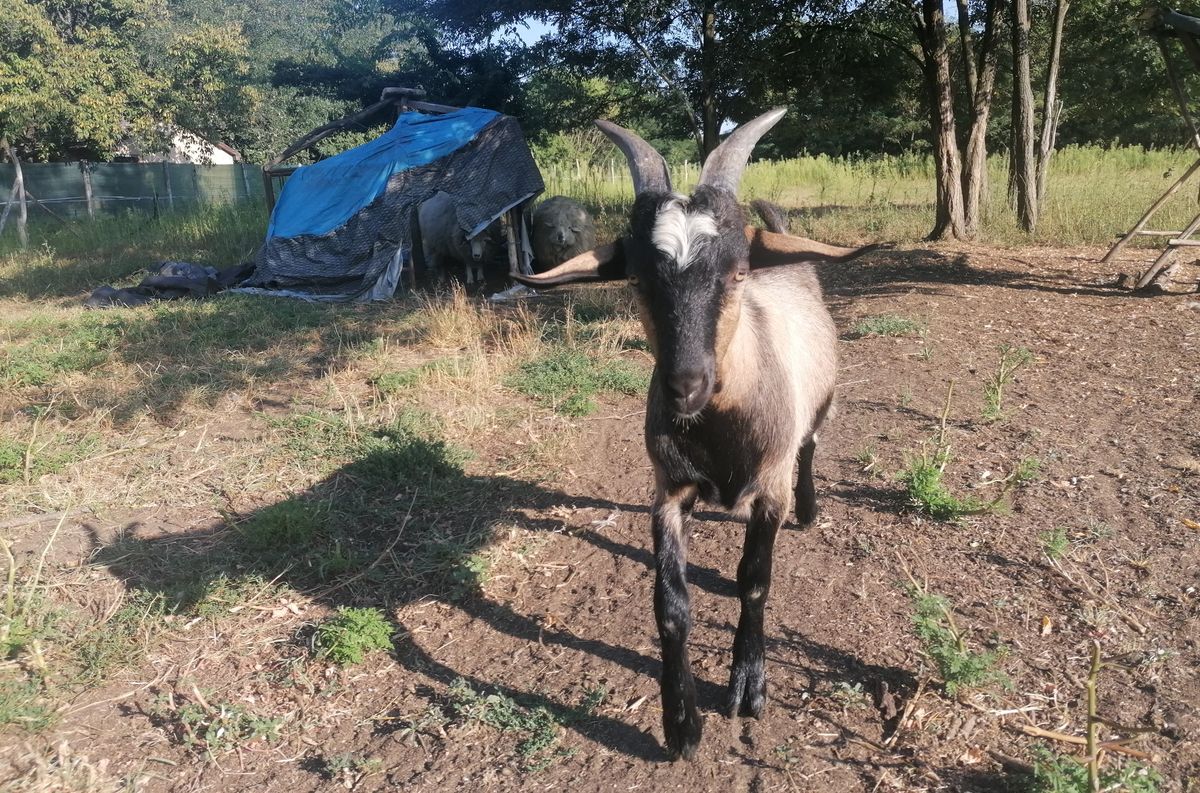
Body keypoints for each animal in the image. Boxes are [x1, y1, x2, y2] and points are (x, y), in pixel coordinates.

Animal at [511, 107, 878, 758]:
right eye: (635, 279)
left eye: (736, 272)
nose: (685, 384)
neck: (720, 431)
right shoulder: (668, 490)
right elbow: (671, 605)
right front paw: (681, 721)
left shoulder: (769, 488)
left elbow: (754, 581)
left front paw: (748, 686)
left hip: (821, 402)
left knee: (812, 445)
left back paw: (811, 508)